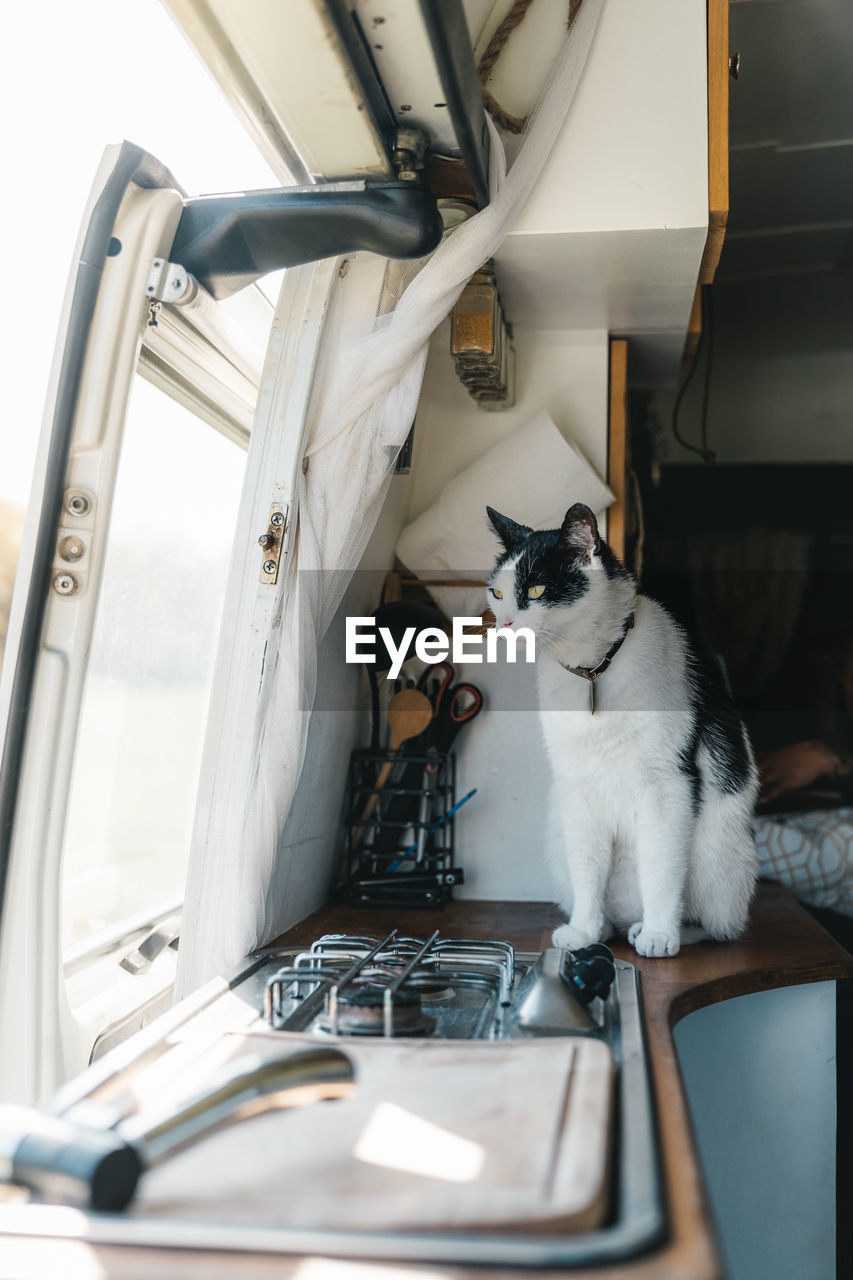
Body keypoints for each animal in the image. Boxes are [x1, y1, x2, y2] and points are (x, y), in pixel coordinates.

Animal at [481, 504, 753, 957]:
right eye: (497, 594)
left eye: (536, 590)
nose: (501, 625)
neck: (592, 670)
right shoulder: (576, 789)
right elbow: (587, 872)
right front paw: (583, 930)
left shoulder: (667, 787)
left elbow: (661, 868)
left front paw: (660, 934)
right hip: (558, 837)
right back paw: (607, 928)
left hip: (717, 851)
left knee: (716, 925)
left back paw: (655, 930)